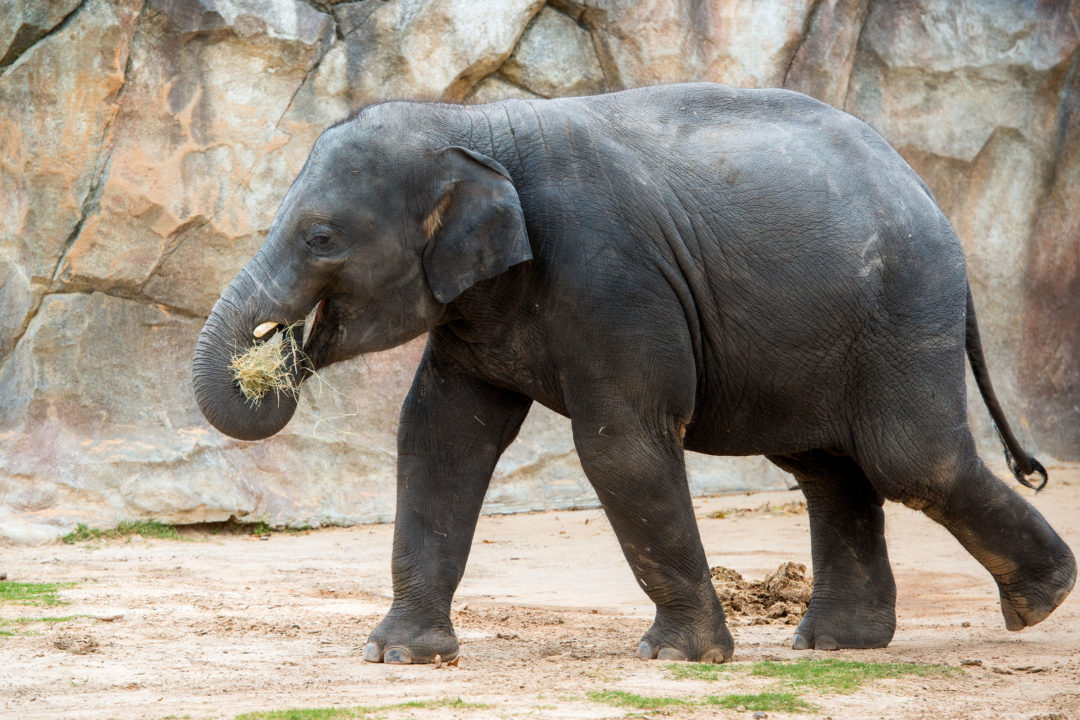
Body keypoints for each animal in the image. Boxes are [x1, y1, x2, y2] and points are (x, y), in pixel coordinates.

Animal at [192, 83, 1071, 664]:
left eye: (321, 238)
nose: (276, 352)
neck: (473, 123)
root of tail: (923, 187)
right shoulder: (476, 308)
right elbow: (441, 440)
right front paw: (401, 657)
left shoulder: (613, 278)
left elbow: (622, 445)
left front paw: (680, 658)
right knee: (829, 468)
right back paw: (836, 644)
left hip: (902, 306)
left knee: (909, 459)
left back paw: (1041, 603)